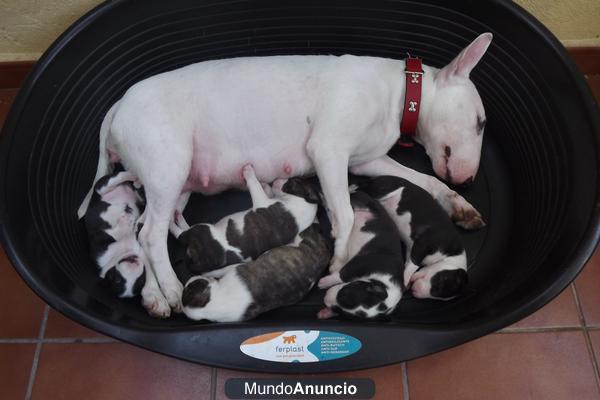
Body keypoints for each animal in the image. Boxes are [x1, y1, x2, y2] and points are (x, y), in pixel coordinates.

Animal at [169, 164, 318, 274]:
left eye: (292, 182)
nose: (277, 179)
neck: (303, 204)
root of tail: (198, 262)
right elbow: (266, 190)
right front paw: (265, 185)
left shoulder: (261, 201)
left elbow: (255, 185)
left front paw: (249, 172)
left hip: (202, 230)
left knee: (181, 234)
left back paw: (173, 222)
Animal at [183, 225, 332, 322]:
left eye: (193, 284)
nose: (191, 277)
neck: (212, 304)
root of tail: (324, 250)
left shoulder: (234, 268)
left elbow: (220, 270)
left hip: (302, 236)